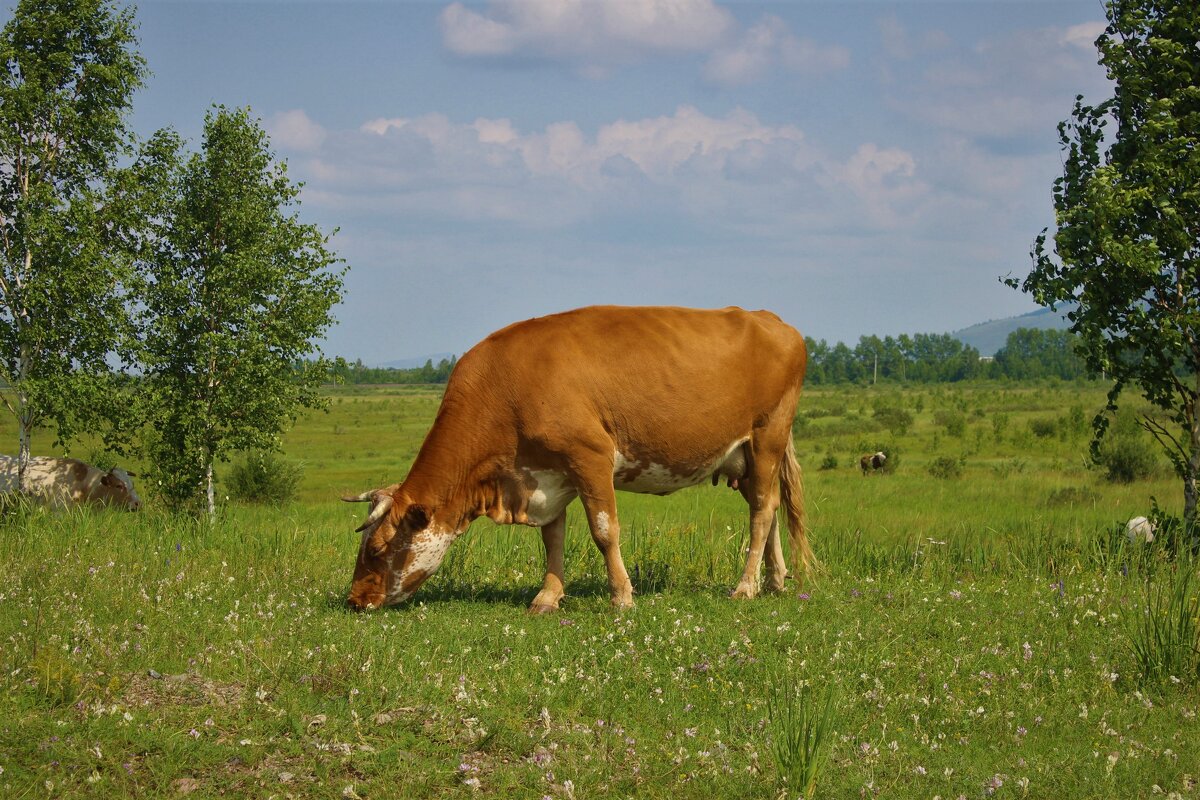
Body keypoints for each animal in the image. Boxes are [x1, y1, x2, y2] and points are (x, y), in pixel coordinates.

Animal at [343, 307, 820, 614]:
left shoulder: (589, 456)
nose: (355, 599)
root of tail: (770, 319)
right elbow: (552, 538)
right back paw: (774, 582)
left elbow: (604, 531)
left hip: (768, 435)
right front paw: (547, 597)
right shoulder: (546, 474)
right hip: (749, 457)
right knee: (768, 507)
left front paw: (621, 597)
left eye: (379, 548)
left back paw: (745, 587)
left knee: (761, 513)